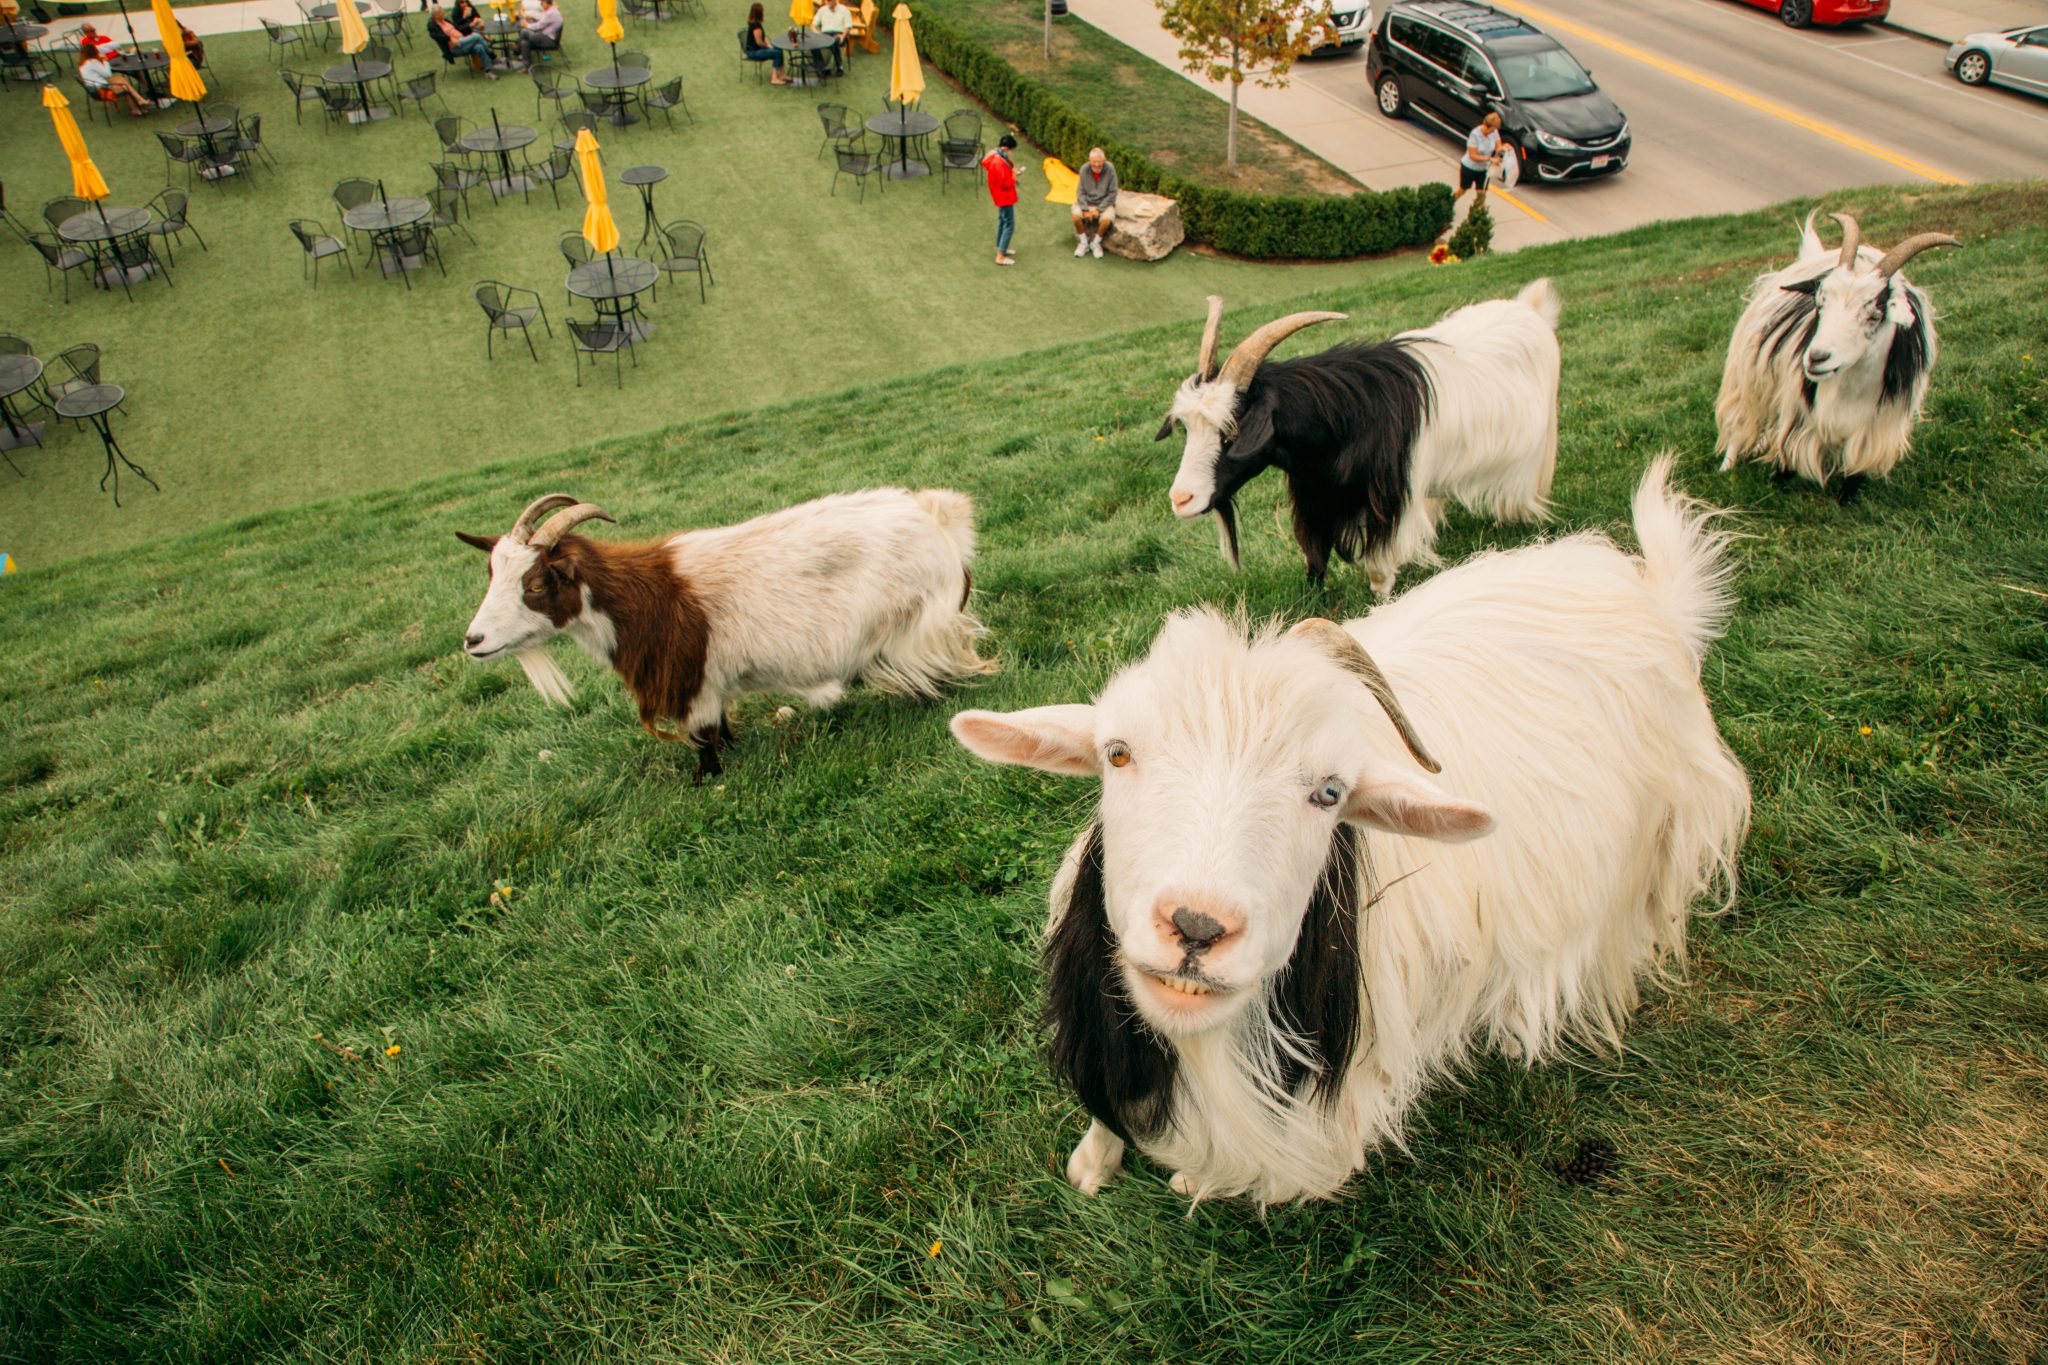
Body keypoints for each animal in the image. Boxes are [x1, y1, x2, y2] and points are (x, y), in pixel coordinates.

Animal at [458, 491, 999, 777]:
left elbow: (703, 738)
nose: (473, 641)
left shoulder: (694, 679)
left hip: (918, 621)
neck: (642, 598)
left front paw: (708, 781)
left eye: (534, 584)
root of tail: (938, 513)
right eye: (491, 574)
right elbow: (720, 727)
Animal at [950, 458, 1753, 1203]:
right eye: (1116, 753)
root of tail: (1639, 585)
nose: (1197, 928)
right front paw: (1093, 1160)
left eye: (1329, 793)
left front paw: (1191, 1178)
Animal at [1163, 280, 1556, 593]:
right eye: (1189, 429)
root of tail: (1530, 309)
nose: (1180, 499)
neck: (1352, 418)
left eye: (1232, 432)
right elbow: (1315, 563)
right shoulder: (1316, 499)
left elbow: (1379, 576)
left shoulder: (1388, 507)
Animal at [1720, 205, 1957, 499]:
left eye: (1874, 315)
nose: (1817, 357)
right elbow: (1785, 462)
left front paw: (1846, 500)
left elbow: (1854, 475)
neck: (1850, 391)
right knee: (1741, 418)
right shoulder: (1800, 413)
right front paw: (1775, 487)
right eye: (1819, 304)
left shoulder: (1875, 431)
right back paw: (1727, 466)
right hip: (1750, 373)